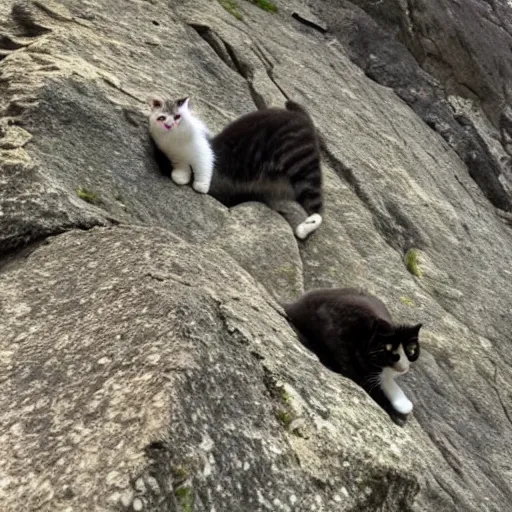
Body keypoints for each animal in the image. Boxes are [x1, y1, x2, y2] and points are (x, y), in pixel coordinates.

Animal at [149, 97, 324, 241]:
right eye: (162, 118)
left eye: (178, 117)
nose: (169, 125)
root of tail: (301, 117)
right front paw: (180, 176)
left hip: (301, 164)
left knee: (317, 204)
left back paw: (305, 226)